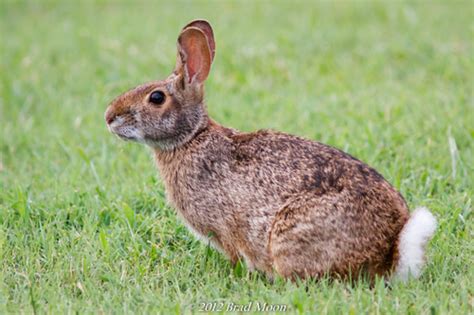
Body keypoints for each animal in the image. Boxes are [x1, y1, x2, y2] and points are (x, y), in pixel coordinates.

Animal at [106, 19, 436, 282]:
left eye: (156, 97)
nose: (109, 116)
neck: (191, 138)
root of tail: (389, 253)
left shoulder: (225, 227)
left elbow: (234, 254)